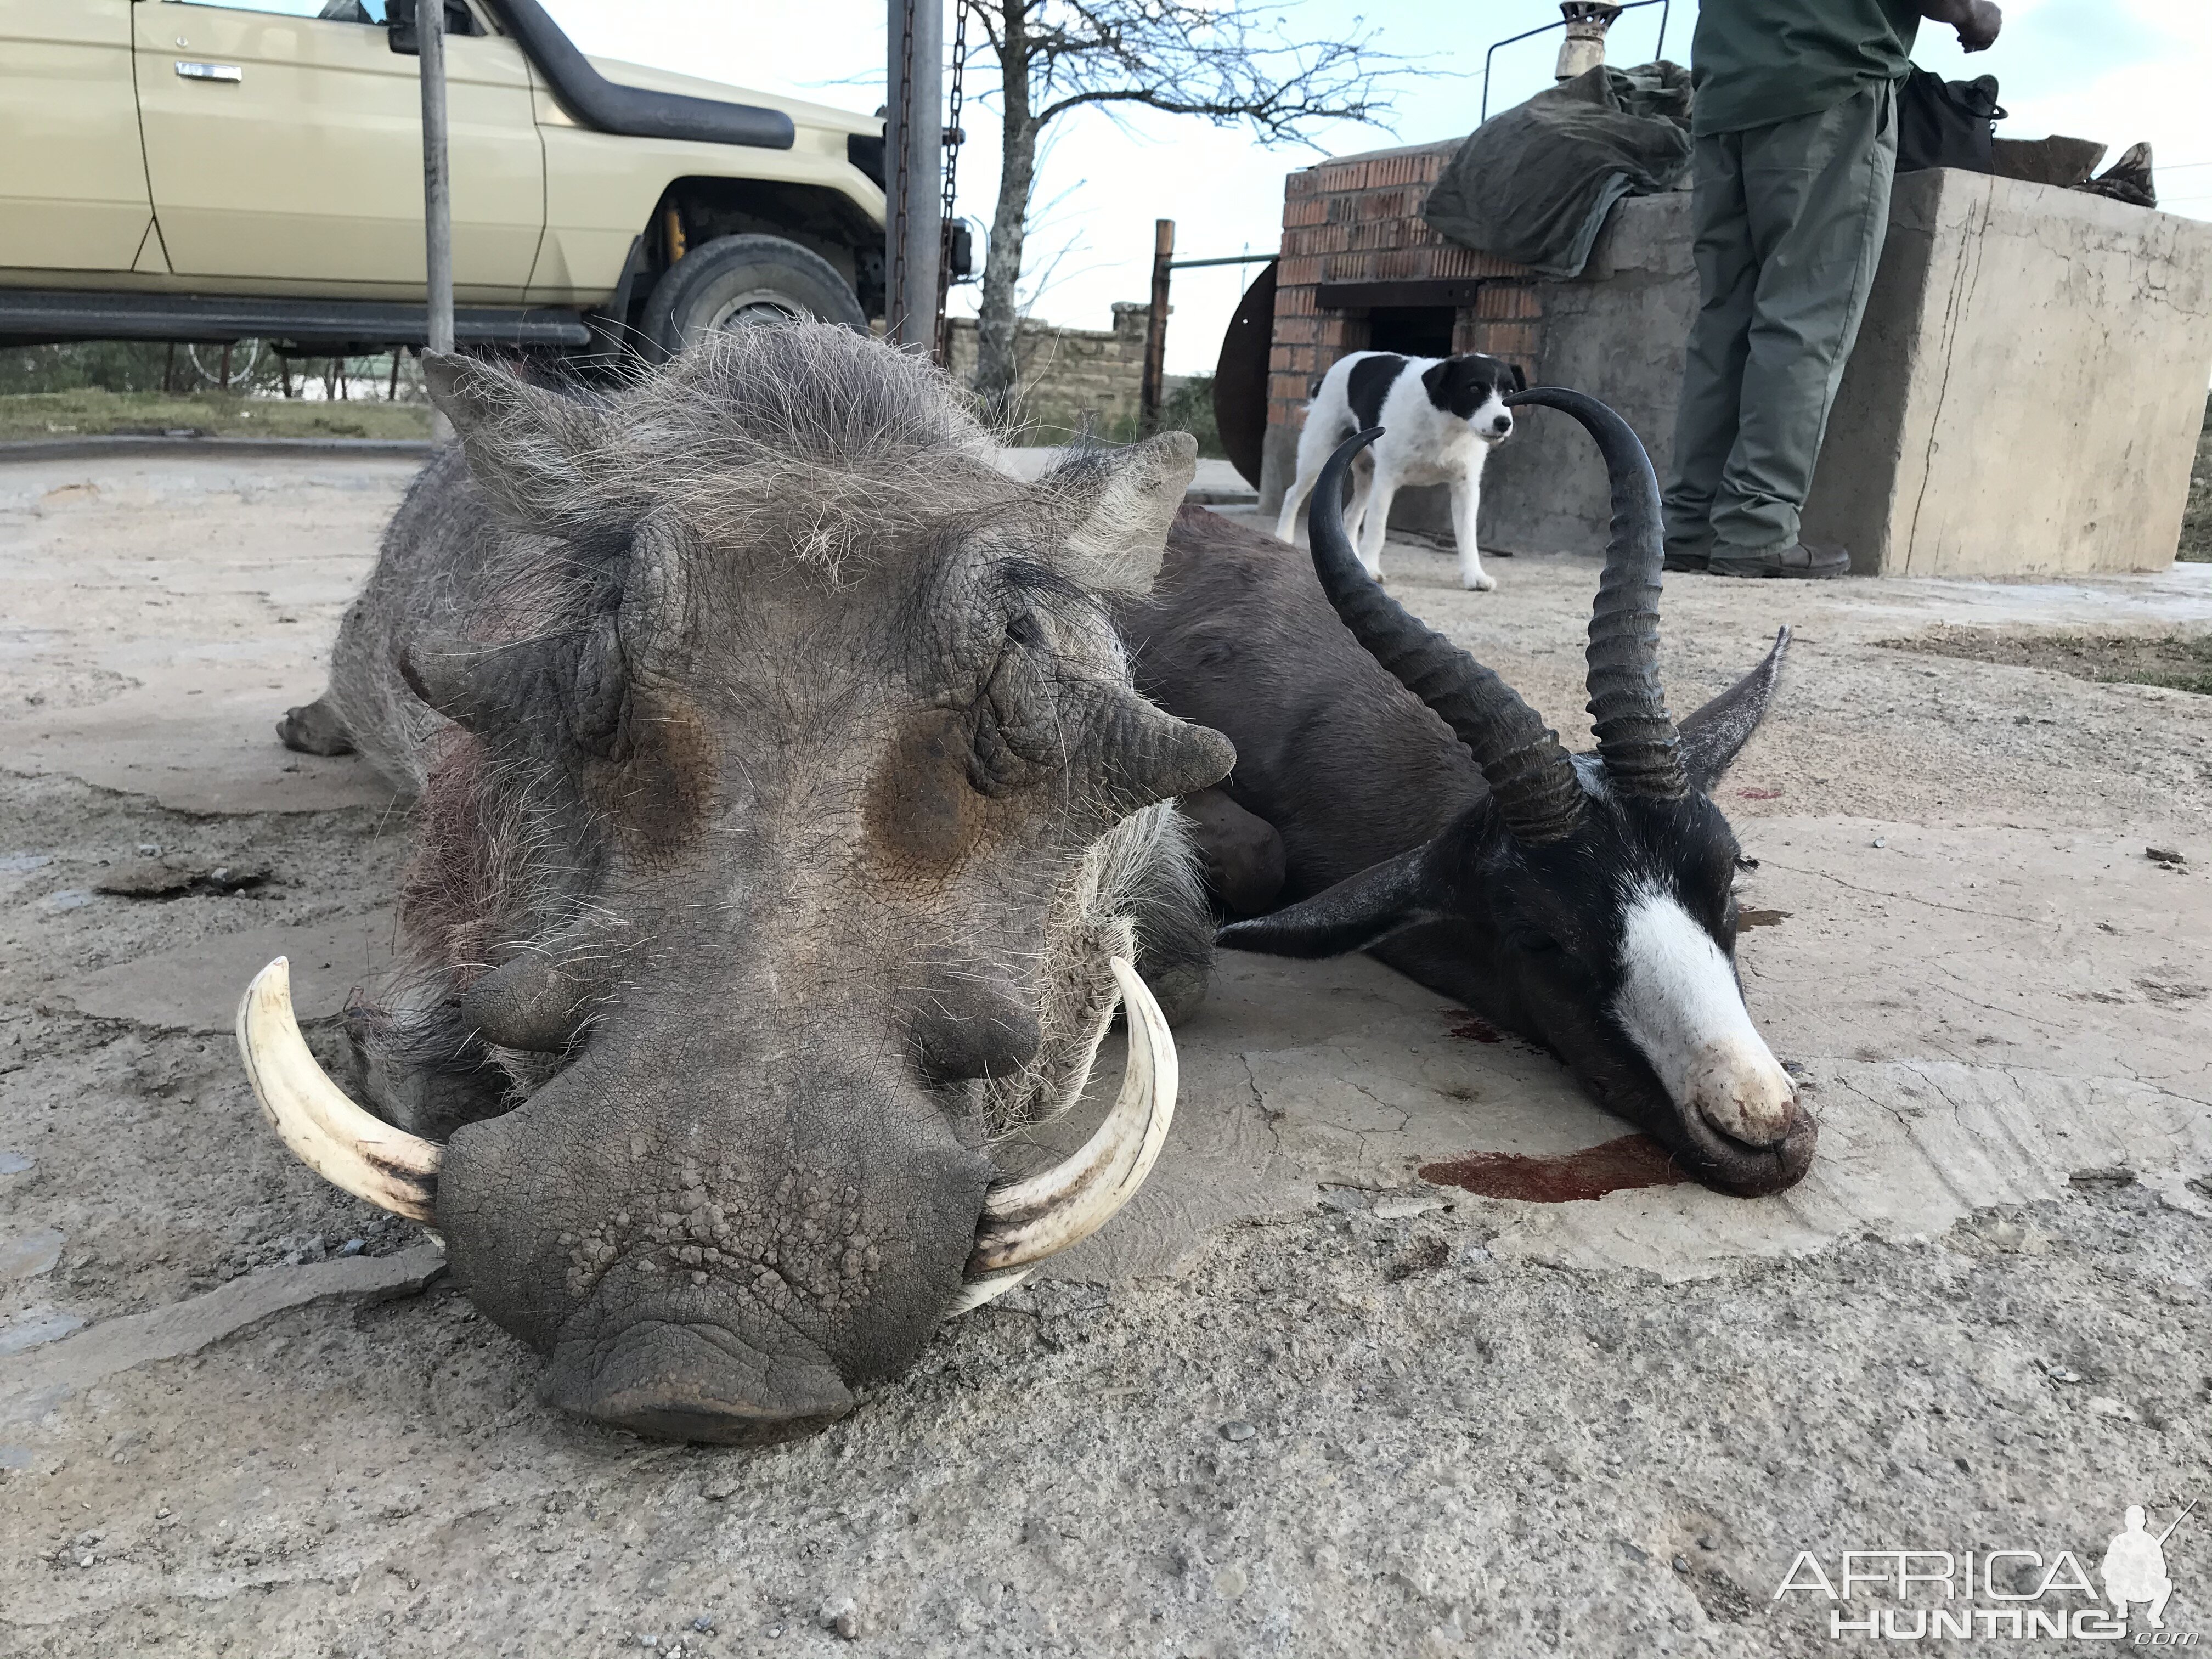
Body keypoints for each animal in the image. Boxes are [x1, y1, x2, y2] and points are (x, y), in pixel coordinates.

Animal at [1274, 347, 1531, 592]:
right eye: (1475, 388)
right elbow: (1377, 528)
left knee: (1350, 514)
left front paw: (1474, 576)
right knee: (1293, 494)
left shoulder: (1465, 486)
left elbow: (1467, 535)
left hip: (1360, 472)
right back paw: (1283, 537)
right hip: (1320, 457)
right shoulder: (1386, 480)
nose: (1503, 423)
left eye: (1510, 392)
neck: (1446, 422)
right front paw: (1371, 569)